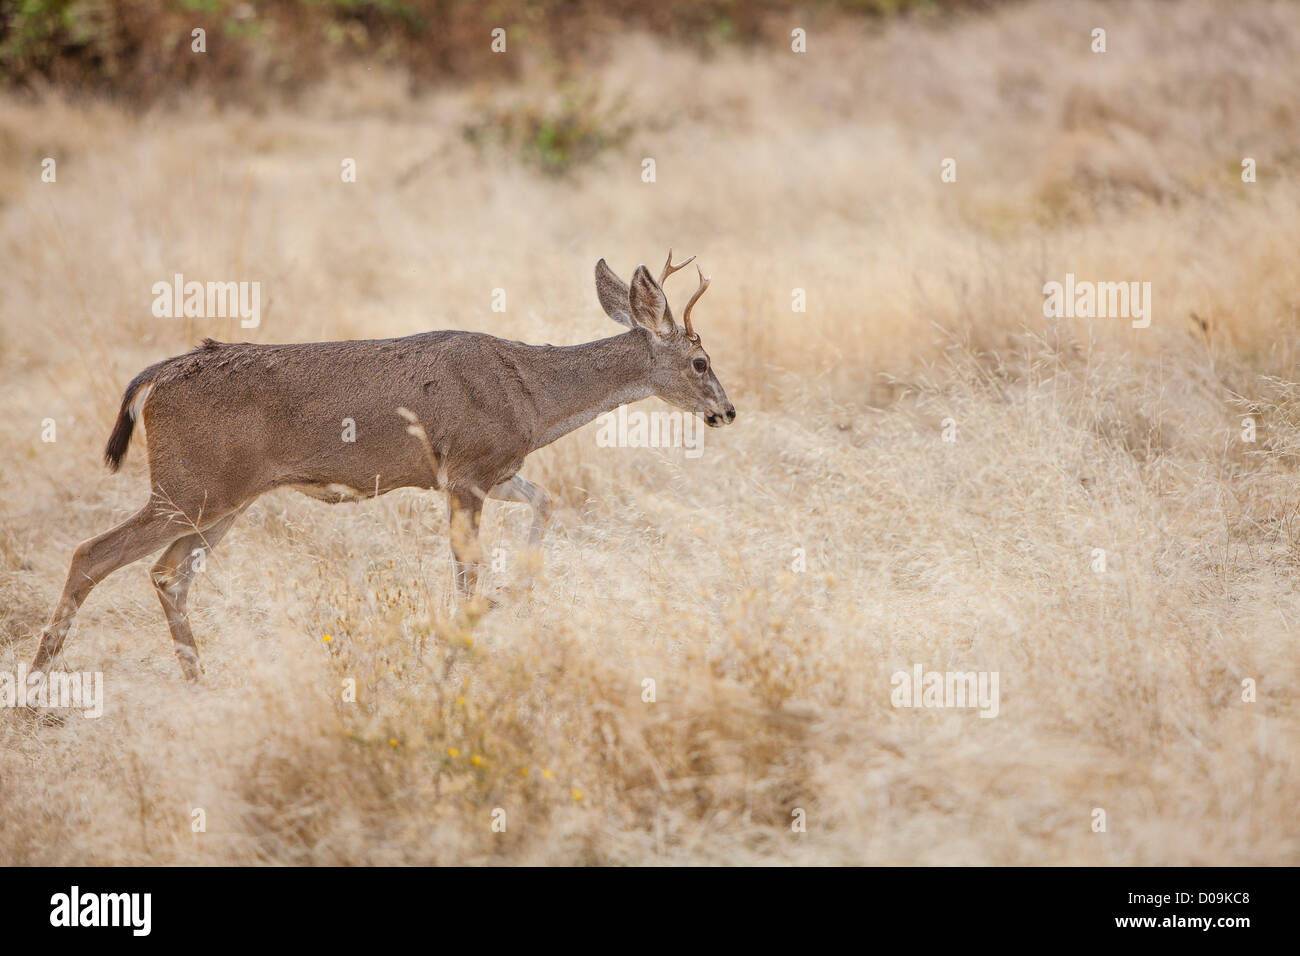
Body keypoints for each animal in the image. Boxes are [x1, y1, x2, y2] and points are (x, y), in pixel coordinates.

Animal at [27, 247, 733, 681]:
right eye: (701, 362)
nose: (727, 410)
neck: (531, 393)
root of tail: (158, 377)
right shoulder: (467, 472)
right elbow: (467, 569)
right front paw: (462, 645)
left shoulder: (491, 472)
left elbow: (547, 503)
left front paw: (516, 593)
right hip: (188, 486)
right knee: (92, 554)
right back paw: (37, 684)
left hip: (222, 499)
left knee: (167, 573)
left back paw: (197, 679)